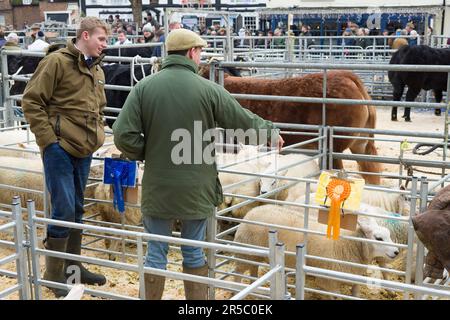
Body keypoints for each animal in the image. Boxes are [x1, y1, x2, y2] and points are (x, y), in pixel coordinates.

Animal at [234, 204, 400, 298]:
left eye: (389, 235)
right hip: (244, 251)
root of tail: (253, 210)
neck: (347, 244)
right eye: (379, 238)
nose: (397, 252)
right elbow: (334, 297)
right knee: (238, 272)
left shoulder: (354, 278)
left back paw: (254, 288)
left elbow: (355, 294)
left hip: (254, 255)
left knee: (253, 269)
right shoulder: (329, 282)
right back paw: (236, 290)